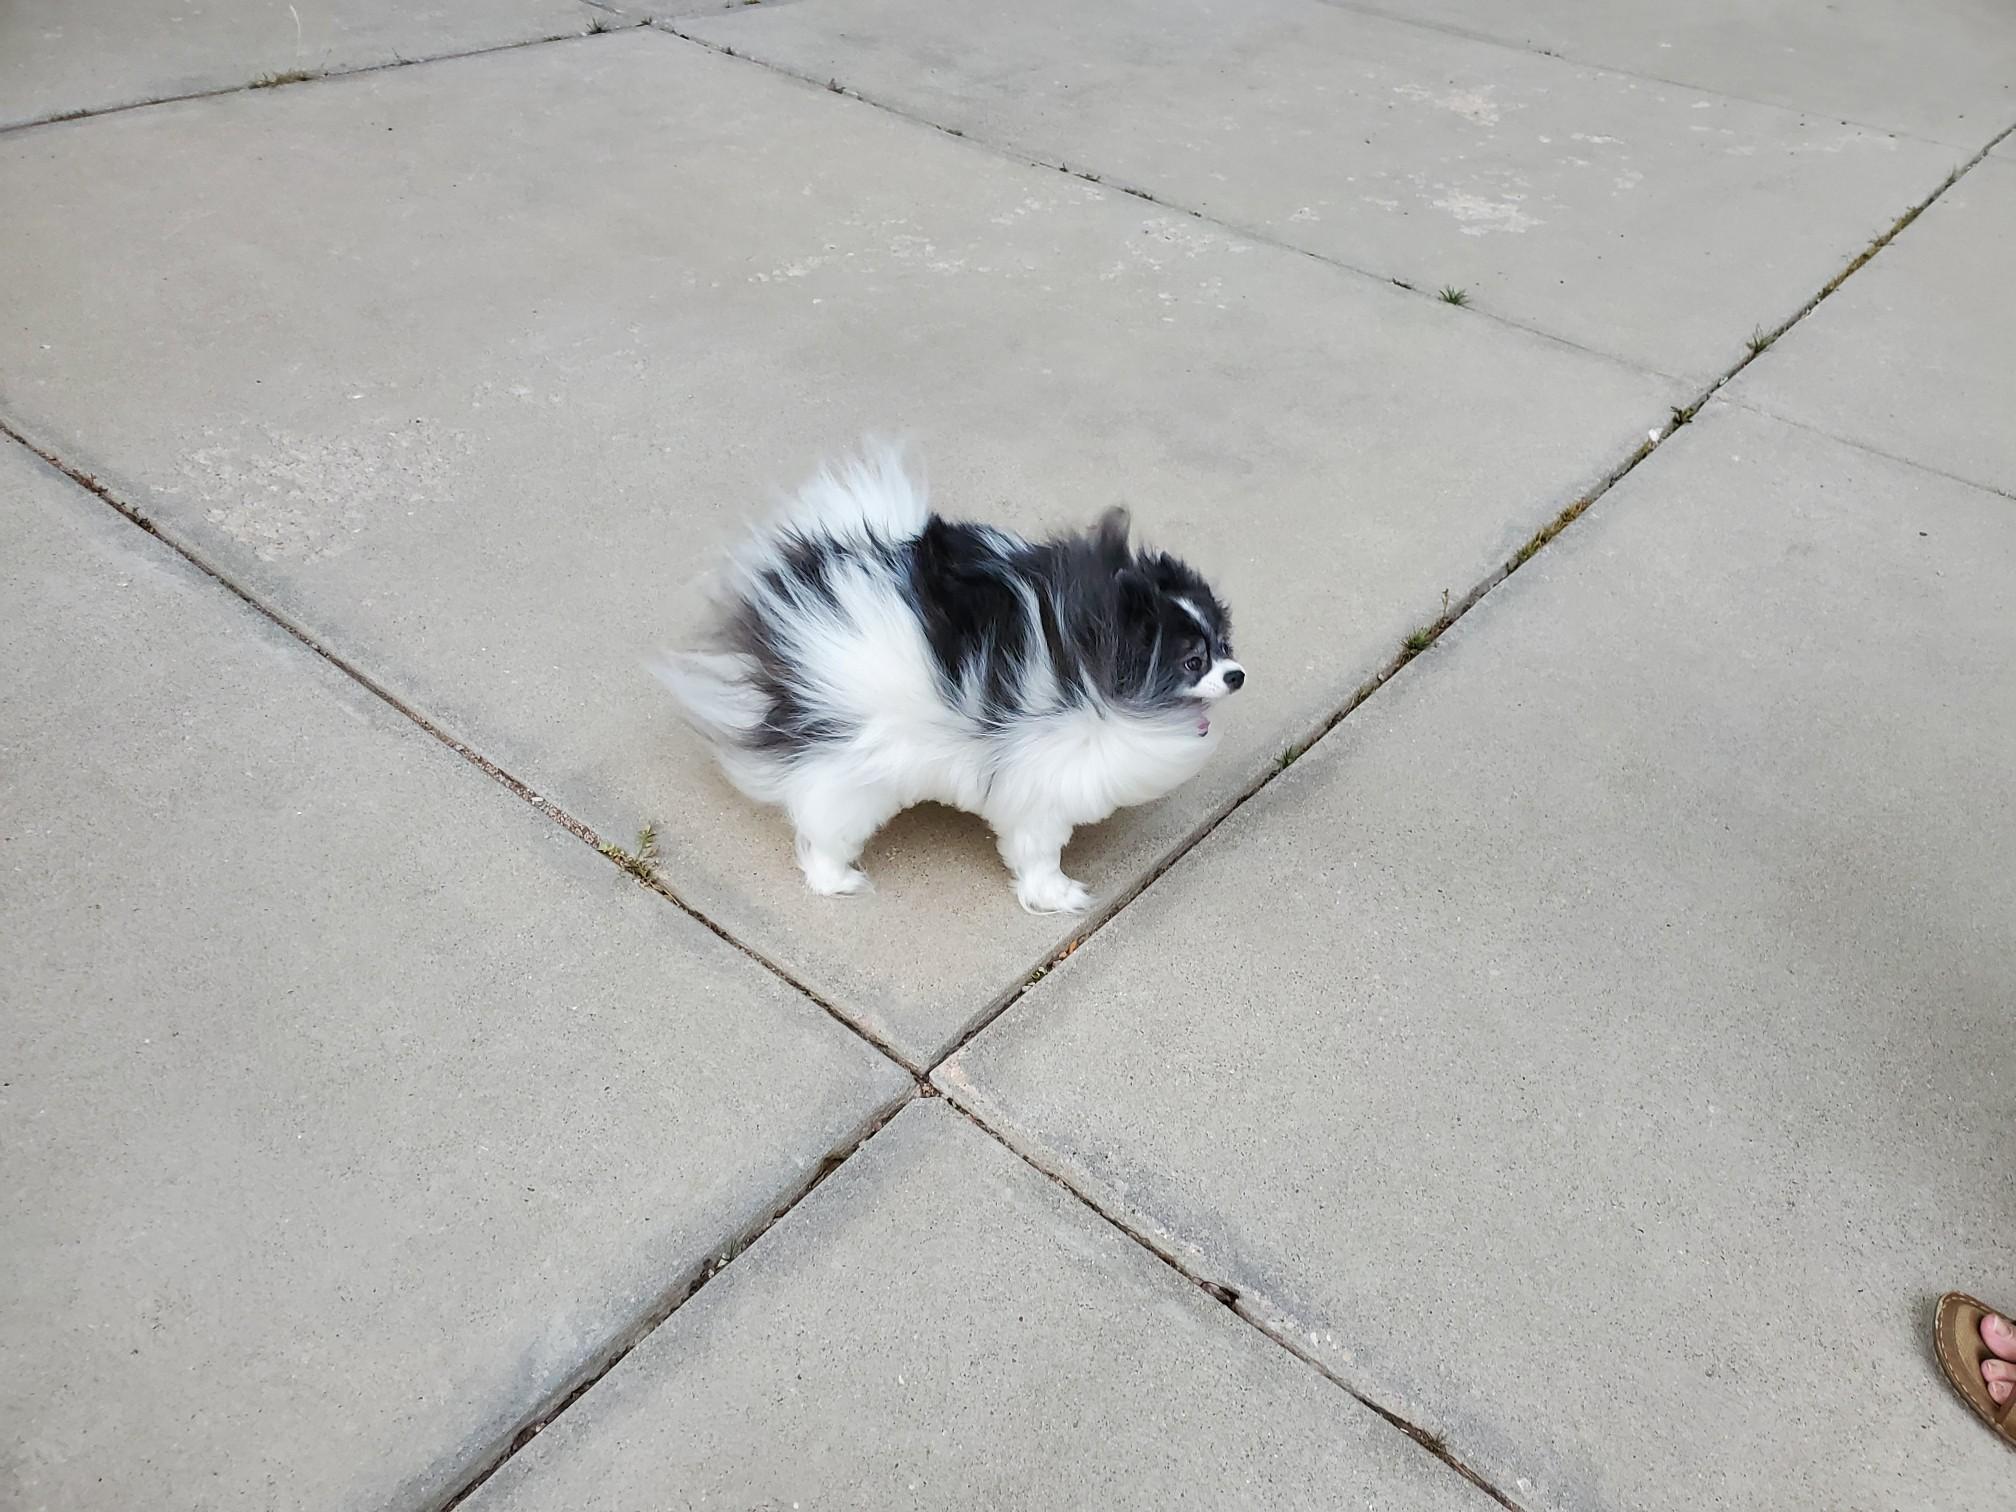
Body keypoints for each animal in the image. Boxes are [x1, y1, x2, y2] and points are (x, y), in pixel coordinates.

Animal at [654, 445, 1242, 913]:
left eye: (1223, 644)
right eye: (1192, 661)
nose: (1237, 675)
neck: (1094, 671)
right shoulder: (1041, 787)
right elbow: (1039, 852)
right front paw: (1056, 896)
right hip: (850, 768)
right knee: (824, 826)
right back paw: (837, 880)